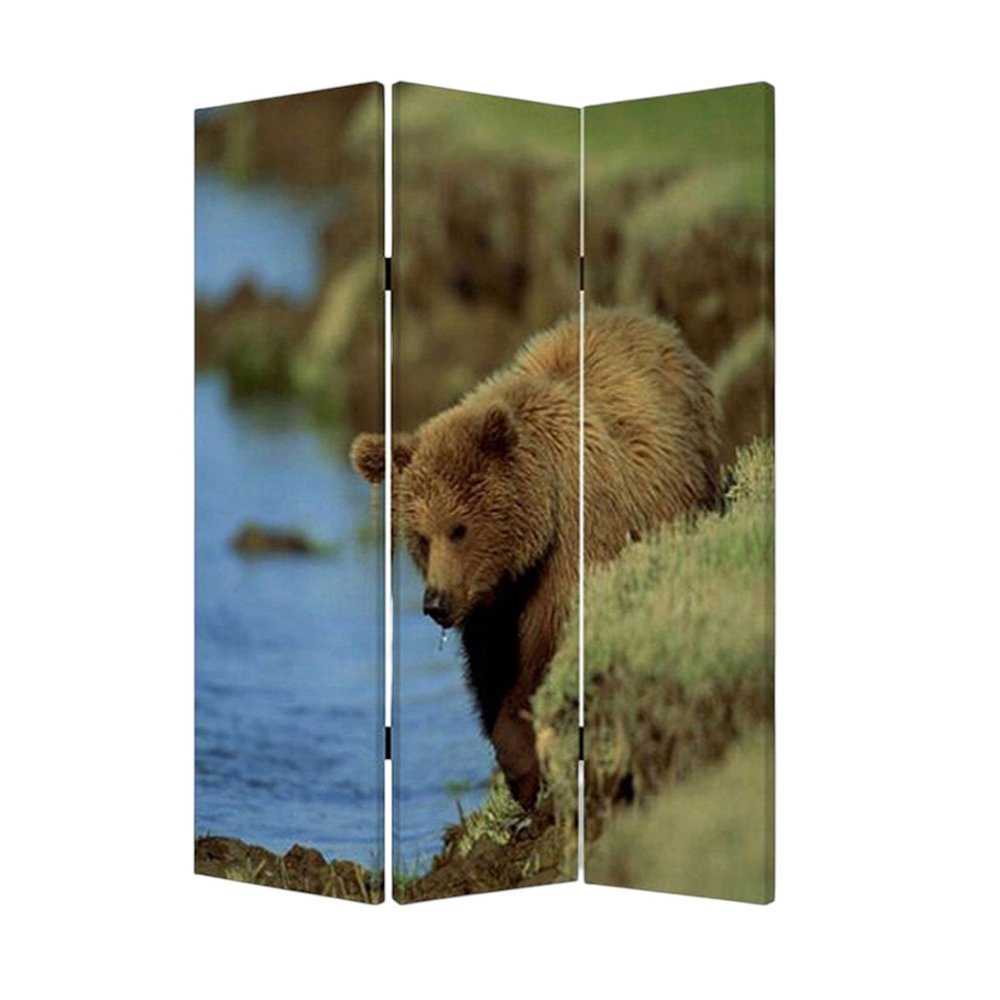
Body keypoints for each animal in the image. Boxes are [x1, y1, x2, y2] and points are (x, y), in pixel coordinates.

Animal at [350, 307, 721, 809]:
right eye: (421, 537)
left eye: (459, 528)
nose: (436, 603)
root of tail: (652, 323)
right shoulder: (490, 607)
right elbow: (492, 673)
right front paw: (521, 771)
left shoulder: (572, 550)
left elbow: (545, 654)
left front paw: (534, 767)